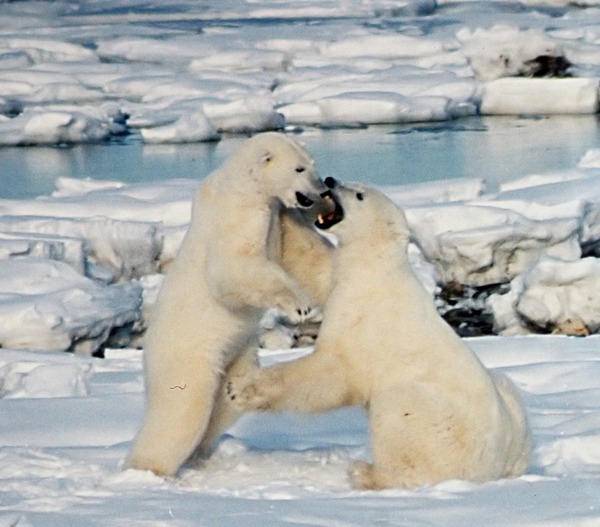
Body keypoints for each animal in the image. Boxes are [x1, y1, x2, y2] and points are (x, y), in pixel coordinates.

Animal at [124, 133, 340, 478]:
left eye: (312, 164)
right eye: (299, 168)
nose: (321, 190)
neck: (244, 185)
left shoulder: (274, 214)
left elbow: (295, 247)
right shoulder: (236, 215)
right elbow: (233, 269)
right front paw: (300, 306)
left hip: (236, 354)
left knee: (225, 406)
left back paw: (201, 453)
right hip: (187, 357)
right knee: (181, 410)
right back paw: (148, 468)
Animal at [227, 180, 532, 490]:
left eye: (359, 194)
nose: (330, 180)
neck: (376, 268)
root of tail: (491, 471)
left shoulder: (364, 319)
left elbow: (329, 374)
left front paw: (239, 388)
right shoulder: (344, 277)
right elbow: (317, 266)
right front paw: (286, 208)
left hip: (435, 424)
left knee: (398, 415)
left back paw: (365, 472)